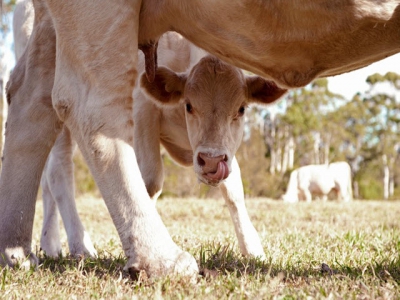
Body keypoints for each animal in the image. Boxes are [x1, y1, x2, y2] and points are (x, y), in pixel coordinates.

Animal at [0, 0, 400, 276]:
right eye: (189, 104)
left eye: (241, 109)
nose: (209, 162)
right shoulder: (143, 109)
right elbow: (150, 179)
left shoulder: (226, 147)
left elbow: (234, 190)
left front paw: (252, 247)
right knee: (70, 149)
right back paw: (130, 252)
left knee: (31, 109)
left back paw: (22, 249)